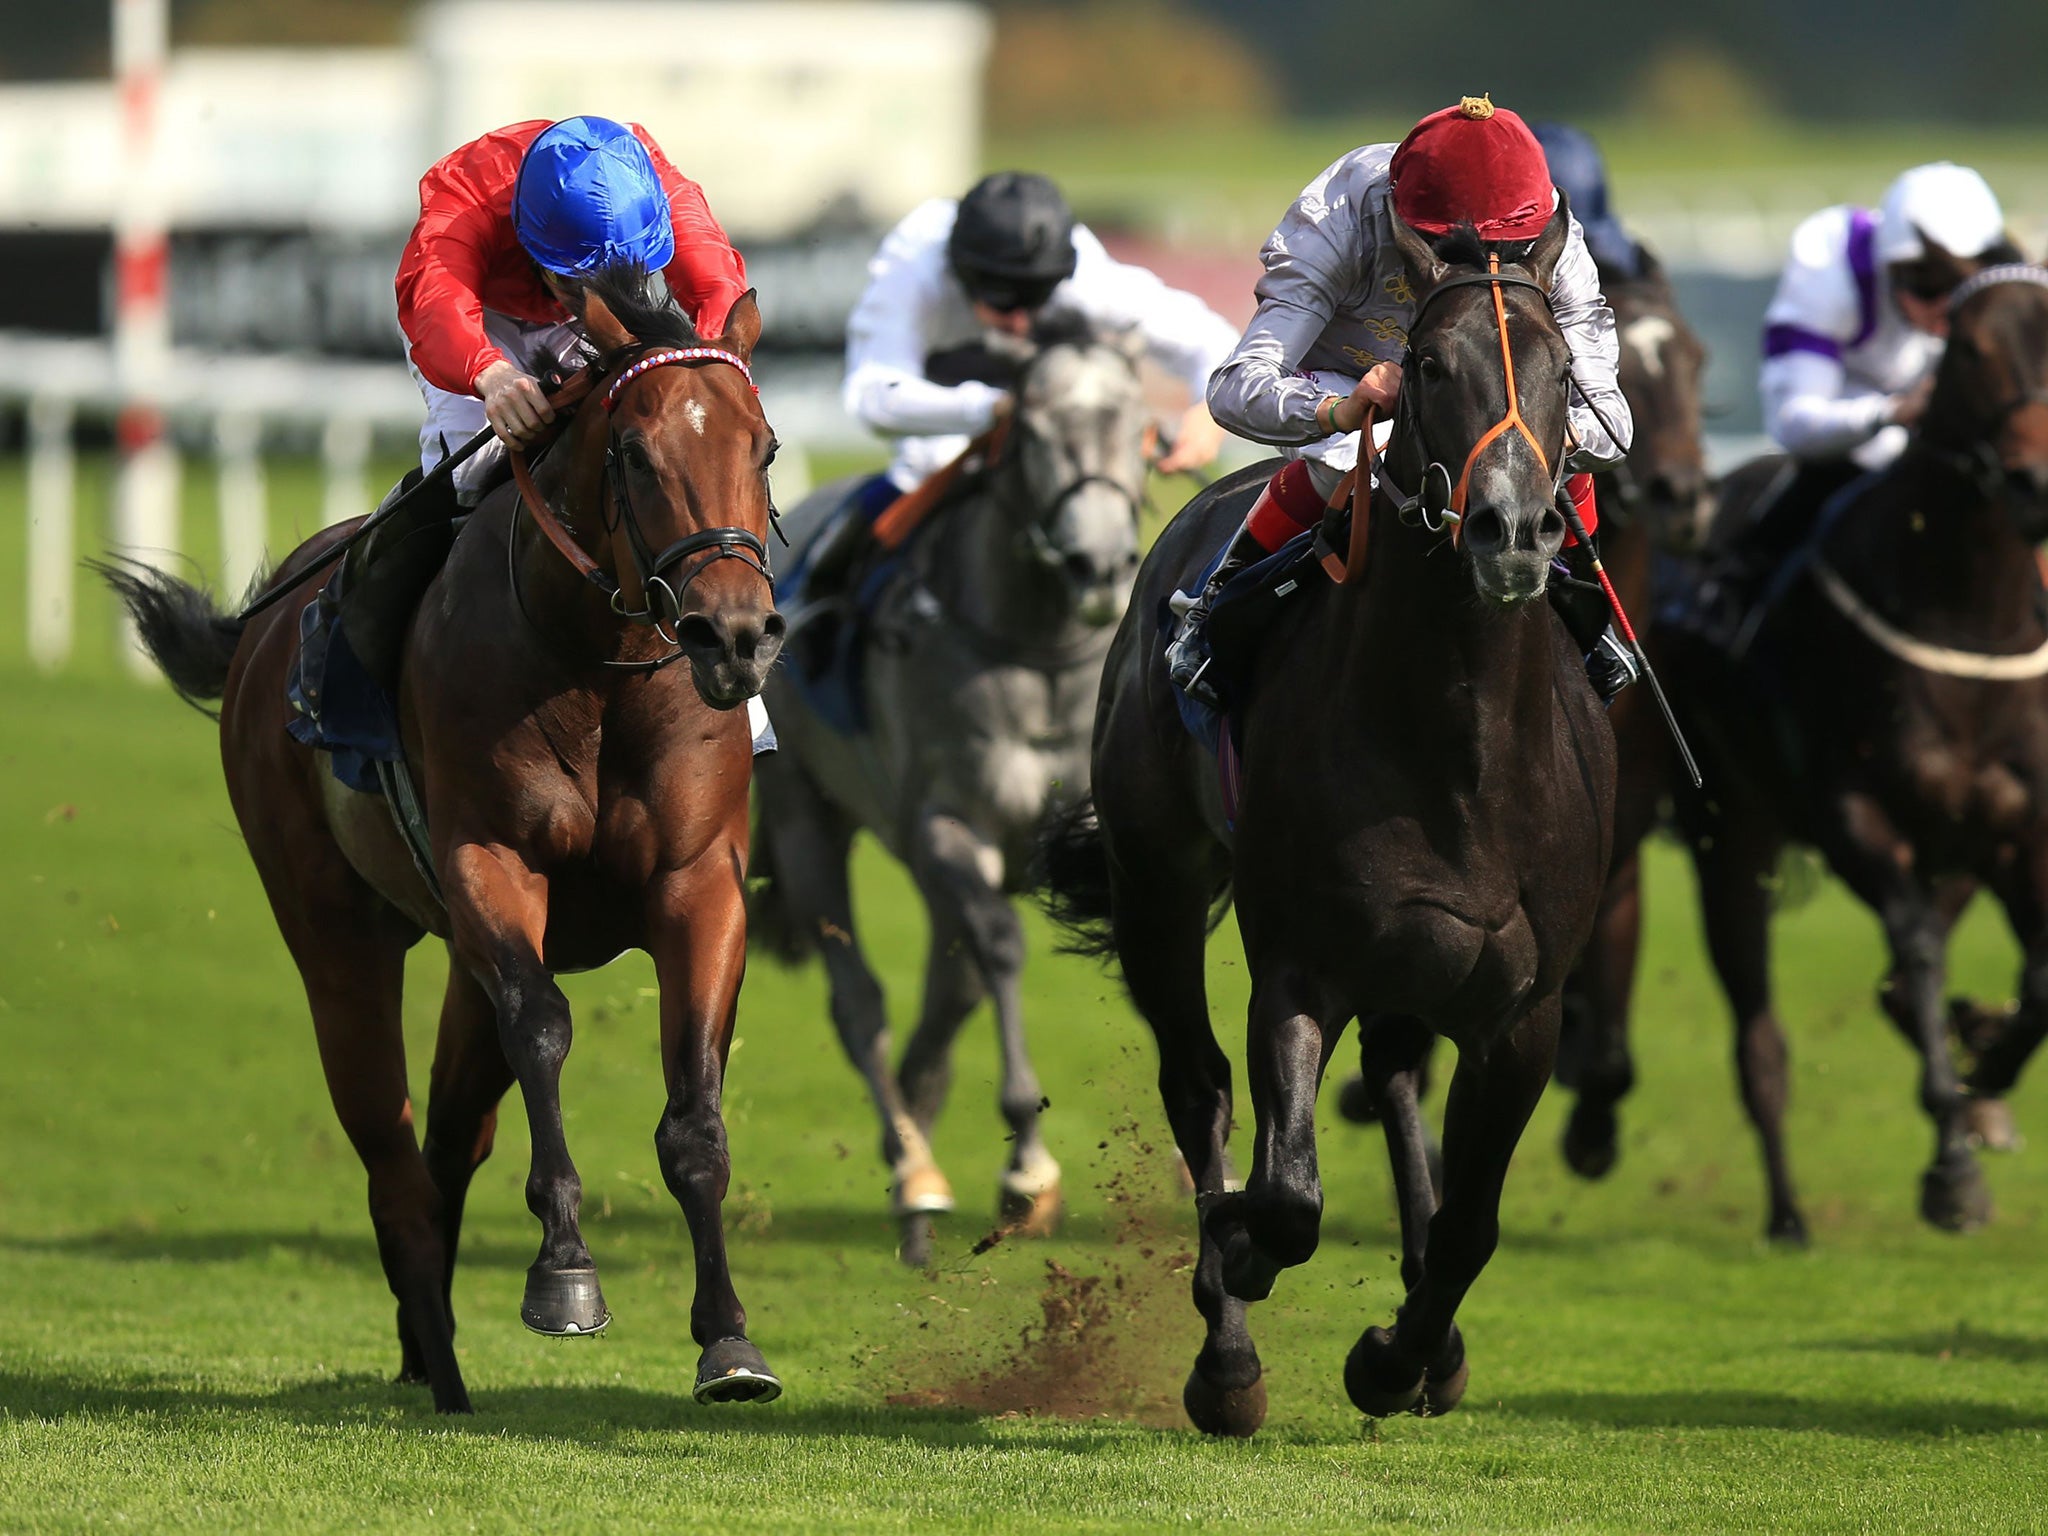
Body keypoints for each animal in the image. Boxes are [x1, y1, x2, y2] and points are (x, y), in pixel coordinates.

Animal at [101, 270, 790, 1417]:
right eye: (633, 453)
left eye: (765, 445)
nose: (731, 635)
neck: (596, 669)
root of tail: (266, 623)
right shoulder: (489, 866)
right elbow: (546, 1028)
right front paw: (564, 1273)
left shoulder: (699, 886)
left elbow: (693, 1112)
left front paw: (728, 1341)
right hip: (337, 939)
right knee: (393, 1160)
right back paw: (445, 1369)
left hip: (462, 965)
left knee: (447, 1144)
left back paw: (427, 1349)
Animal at [753, 321, 1163, 1261]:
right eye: (1035, 427)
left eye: (1137, 424)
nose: (1098, 563)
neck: (1038, 652)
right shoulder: (947, 824)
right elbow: (1003, 951)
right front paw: (1028, 1170)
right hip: (803, 813)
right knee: (860, 1002)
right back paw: (914, 1173)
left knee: (948, 997)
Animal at [1040, 207, 1613, 1441]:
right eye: (1431, 365)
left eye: (1564, 373)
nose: (1511, 527)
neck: (1460, 753)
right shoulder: (1300, 961)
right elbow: (1286, 1193)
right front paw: (1241, 1255)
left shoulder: (1525, 1010)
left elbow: (1470, 1223)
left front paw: (1400, 1355)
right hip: (1155, 886)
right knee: (1198, 1086)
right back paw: (1226, 1348)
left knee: (1395, 1077)